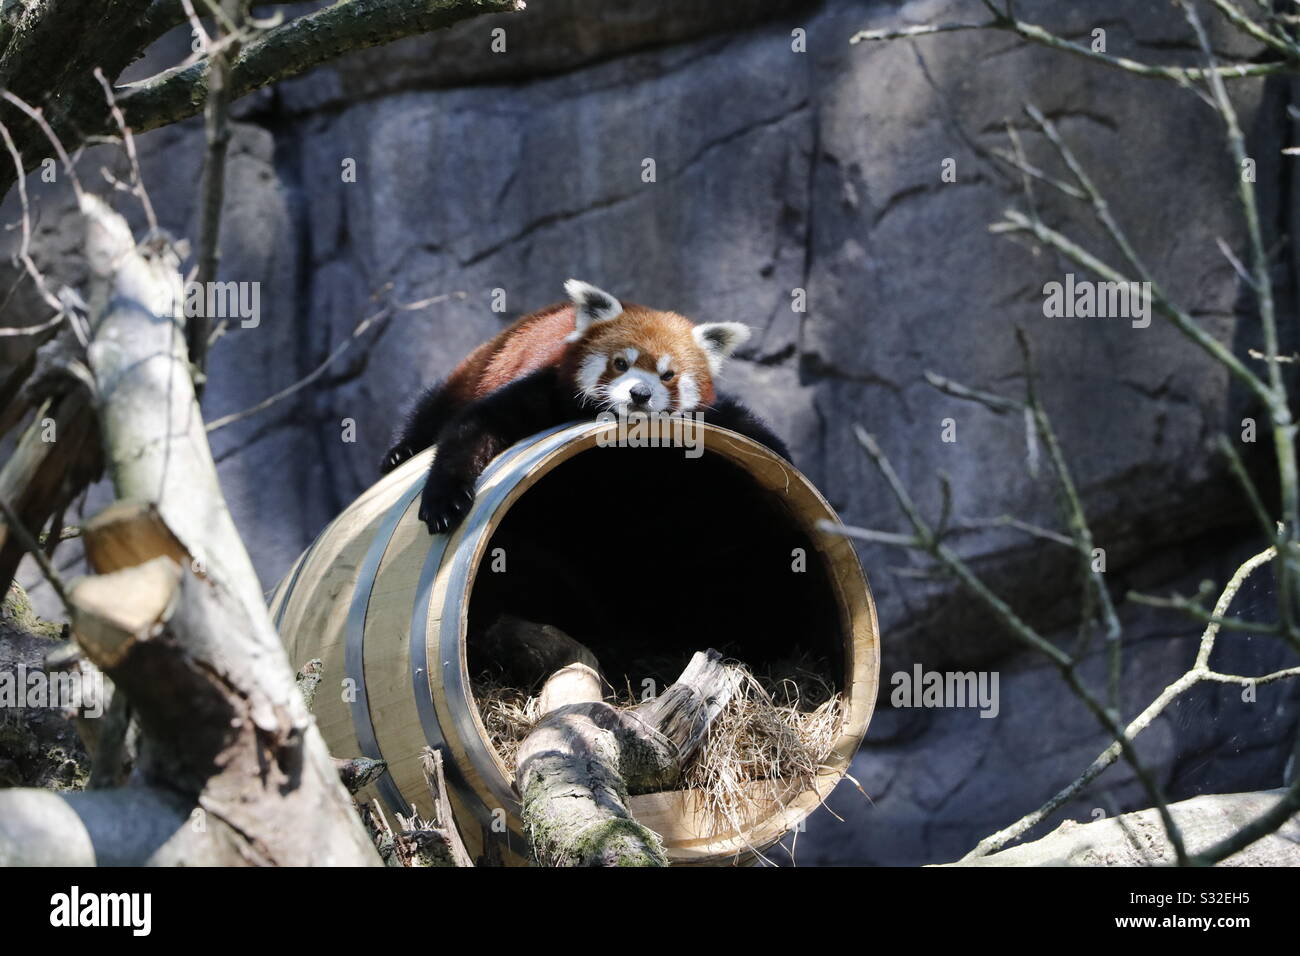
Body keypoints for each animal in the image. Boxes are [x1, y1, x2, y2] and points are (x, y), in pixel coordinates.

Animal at [379, 277, 785, 535]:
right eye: (620, 363)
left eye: (667, 375)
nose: (640, 394)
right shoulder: (548, 386)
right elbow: (476, 424)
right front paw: (444, 500)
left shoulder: (710, 411)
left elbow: (745, 424)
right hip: (481, 365)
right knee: (437, 406)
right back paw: (401, 451)